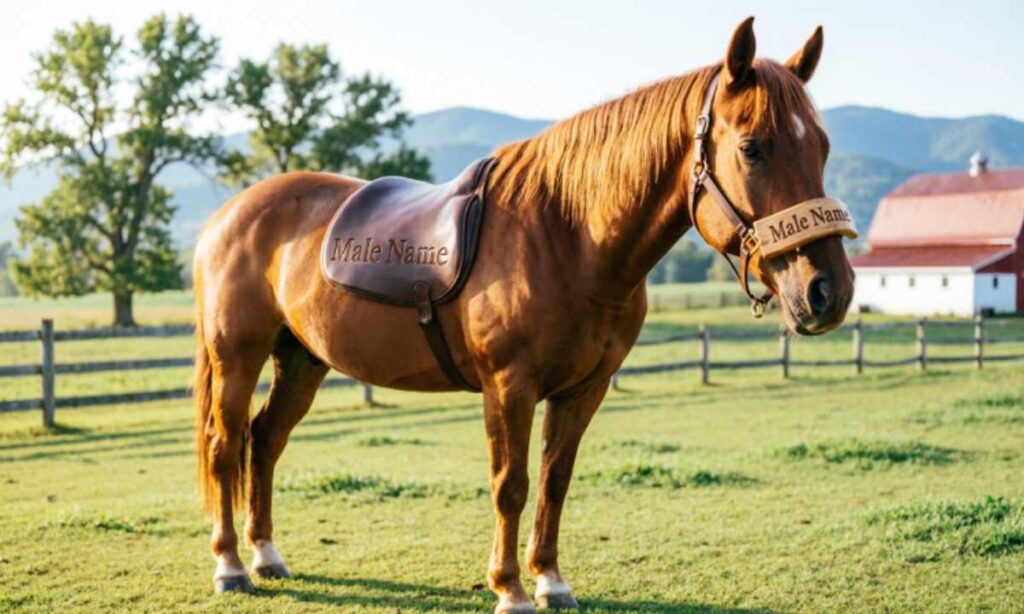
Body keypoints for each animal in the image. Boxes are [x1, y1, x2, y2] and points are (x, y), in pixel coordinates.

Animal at [192, 17, 854, 613]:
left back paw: (266, 556)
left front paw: (551, 582)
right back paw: (230, 567)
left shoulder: (582, 390)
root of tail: (227, 216)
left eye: (822, 147)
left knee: (265, 440)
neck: (568, 234)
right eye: (752, 147)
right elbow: (510, 485)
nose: (829, 291)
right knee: (226, 445)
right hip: (238, 357)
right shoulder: (509, 387)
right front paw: (509, 589)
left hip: (302, 360)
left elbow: (555, 481)